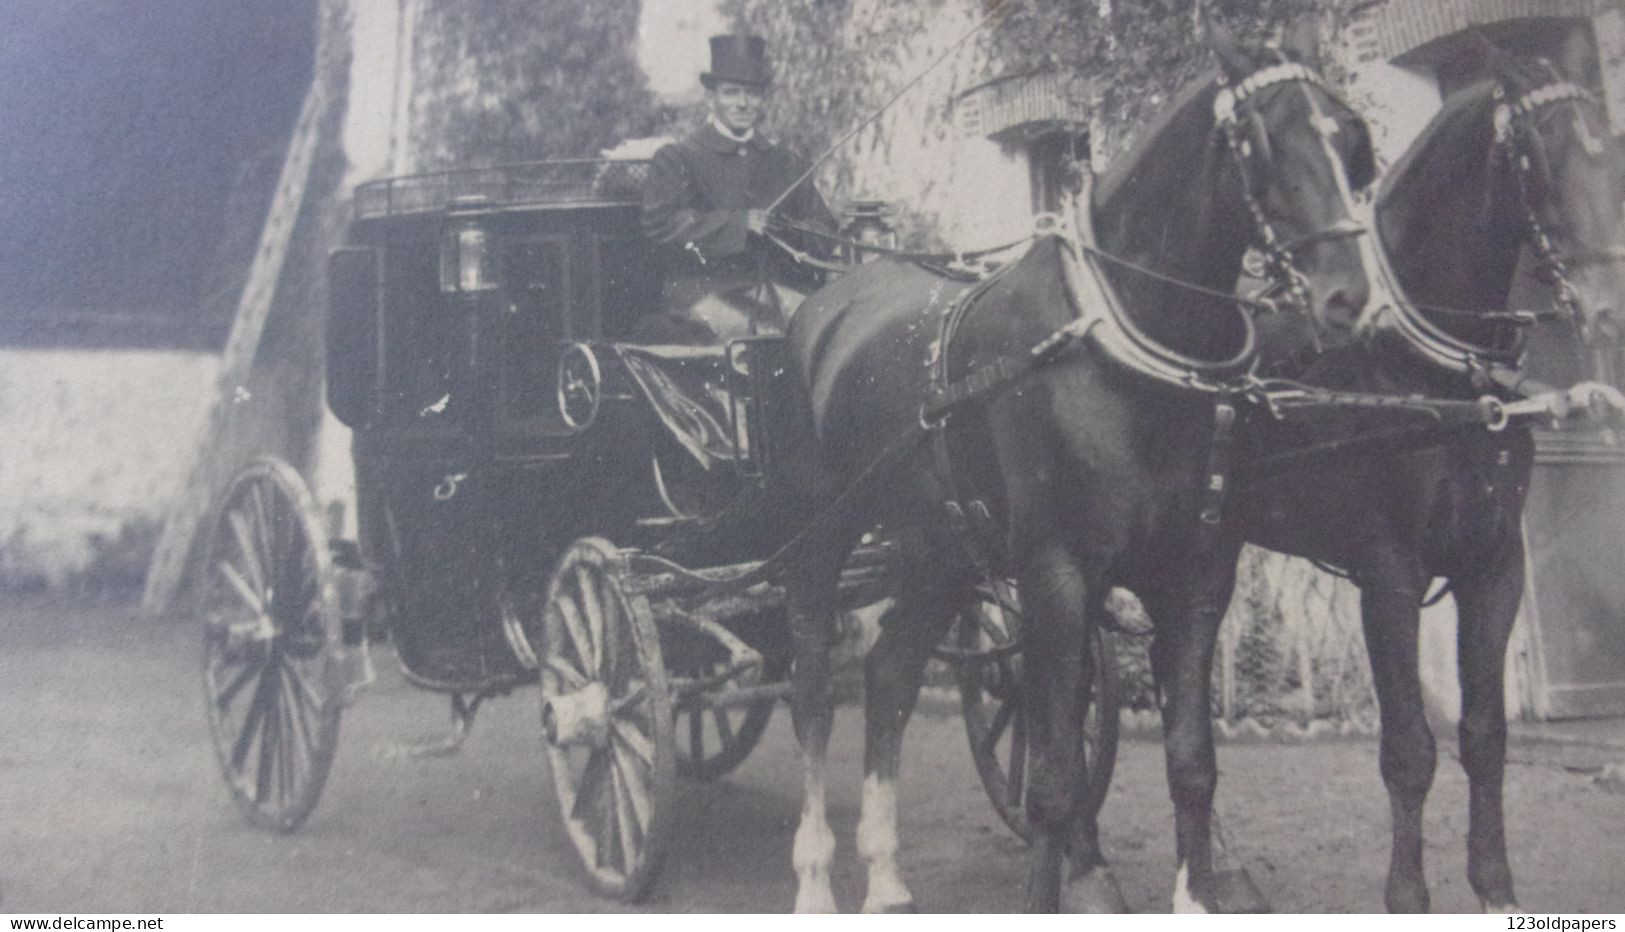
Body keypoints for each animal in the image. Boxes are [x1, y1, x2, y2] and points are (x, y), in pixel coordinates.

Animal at [767, 25, 1378, 915]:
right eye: (1259, 140)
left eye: (1349, 140)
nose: (1350, 299)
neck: (1124, 347)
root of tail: (821, 306)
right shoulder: (1055, 575)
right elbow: (1053, 781)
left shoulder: (1196, 580)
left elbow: (1192, 766)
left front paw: (1194, 897)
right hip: (820, 540)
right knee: (812, 688)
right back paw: (815, 880)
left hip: (939, 552)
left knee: (889, 677)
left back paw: (884, 878)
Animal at [1183, 42, 1625, 915]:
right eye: (1537, 158)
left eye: (1613, 152)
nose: (1610, 308)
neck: (1436, 371)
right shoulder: (1387, 577)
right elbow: (1409, 752)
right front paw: (1408, 895)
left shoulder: (1494, 566)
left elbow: (1483, 735)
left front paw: (1494, 888)